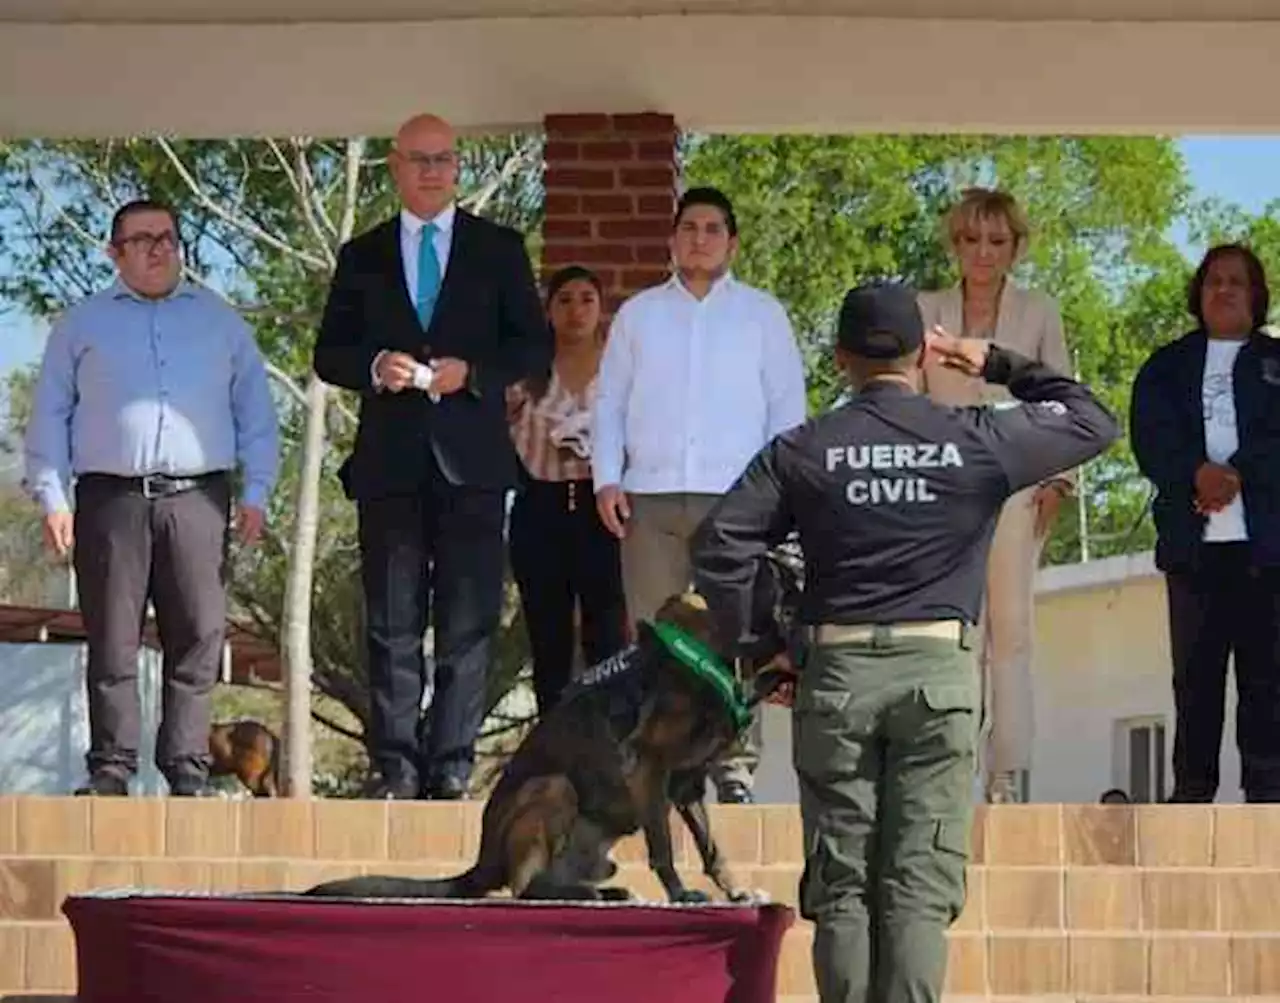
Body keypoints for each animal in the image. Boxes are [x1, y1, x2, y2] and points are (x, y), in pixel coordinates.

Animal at [304, 544, 798, 905]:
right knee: (524, 887)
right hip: (553, 786)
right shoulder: (650, 768)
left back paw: (599, 891)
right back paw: (589, 895)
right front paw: (681, 895)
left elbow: (712, 849)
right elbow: (664, 848)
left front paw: (735, 892)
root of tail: (483, 862)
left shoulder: (686, 785)